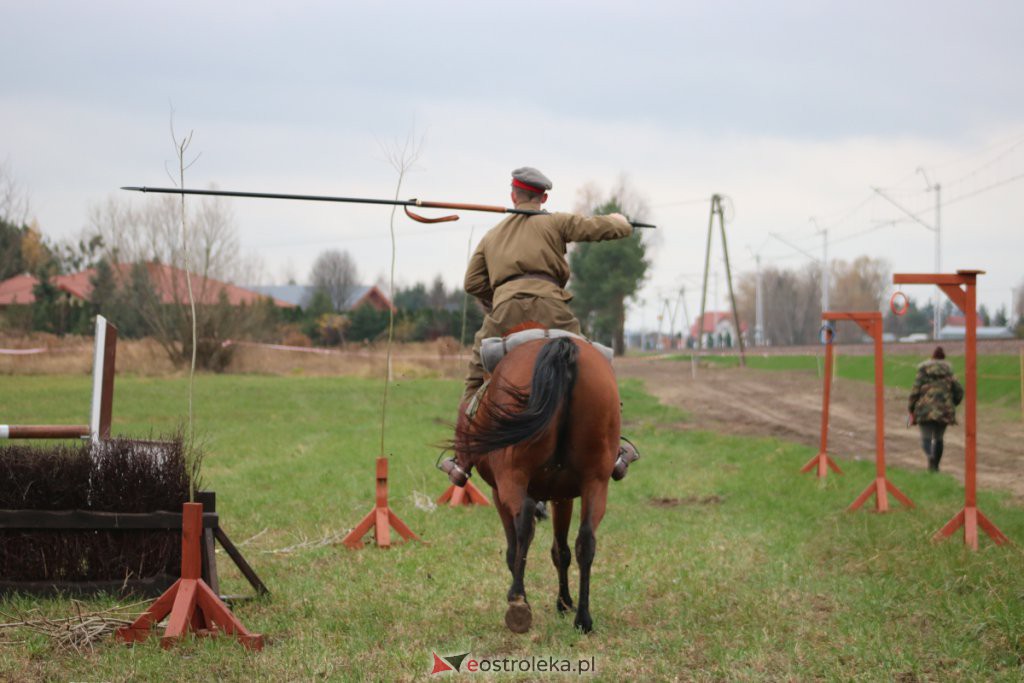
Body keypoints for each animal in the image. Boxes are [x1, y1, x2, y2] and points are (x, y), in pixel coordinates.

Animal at [454, 333, 614, 634]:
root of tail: (561, 346)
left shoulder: (498, 492)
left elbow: (514, 548)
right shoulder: (564, 496)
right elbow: (561, 551)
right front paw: (564, 603)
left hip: (511, 477)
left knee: (525, 521)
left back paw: (518, 603)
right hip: (596, 482)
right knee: (586, 540)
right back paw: (583, 619)